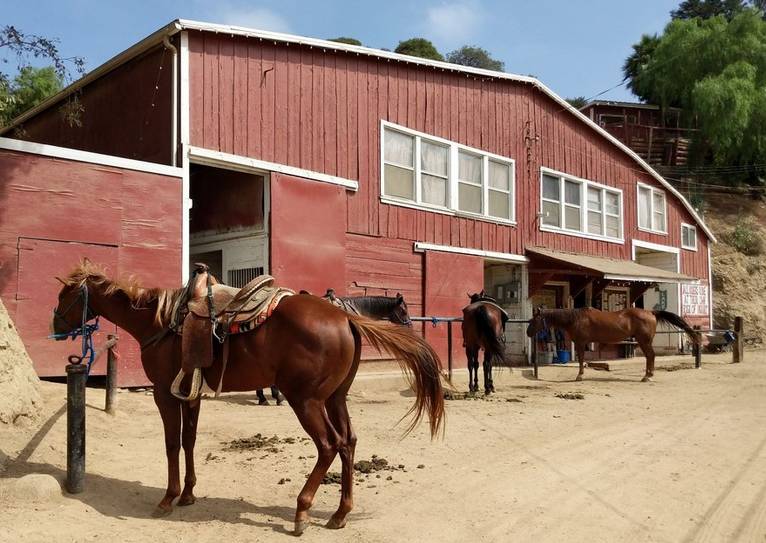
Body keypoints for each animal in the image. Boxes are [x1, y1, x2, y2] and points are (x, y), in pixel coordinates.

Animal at [51, 262, 448, 536]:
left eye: (63, 297)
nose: (54, 325)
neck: (161, 321)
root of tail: (345, 318)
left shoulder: (165, 393)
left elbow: (171, 444)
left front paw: (168, 497)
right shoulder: (189, 394)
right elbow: (189, 440)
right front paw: (189, 494)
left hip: (305, 400)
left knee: (328, 445)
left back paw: (302, 511)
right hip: (335, 397)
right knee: (348, 442)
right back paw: (339, 513)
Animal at [528, 306, 704, 382]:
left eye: (534, 320)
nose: (528, 333)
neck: (576, 319)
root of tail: (651, 312)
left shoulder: (580, 343)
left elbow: (581, 360)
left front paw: (580, 376)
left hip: (644, 341)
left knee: (651, 356)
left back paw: (647, 376)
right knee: (650, 357)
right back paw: (648, 375)